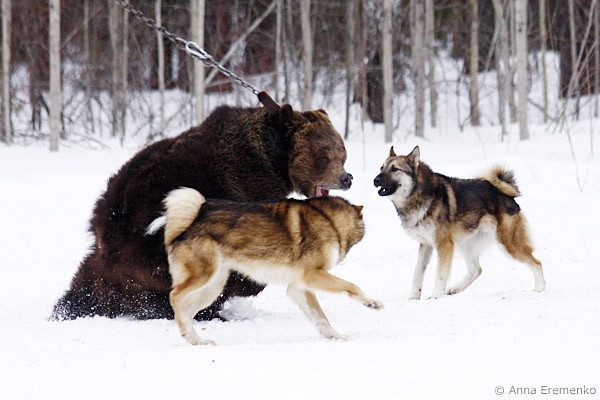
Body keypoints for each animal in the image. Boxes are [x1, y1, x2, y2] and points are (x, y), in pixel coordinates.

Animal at [52, 93, 353, 321]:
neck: (273, 160)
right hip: (150, 245)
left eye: (342, 152)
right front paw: (251, 281)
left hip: (104, 252)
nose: (346, 177)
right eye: (323, 155)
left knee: (87, 283)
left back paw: (67, 308)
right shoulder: (244, 184)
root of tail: (109, 231)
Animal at [147, 188, 382, 345]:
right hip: (203, 277)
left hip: (212, 288)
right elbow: (352, 286)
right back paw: (189, 333)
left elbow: (320, 319)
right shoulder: (312, 275)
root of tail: (192, 220)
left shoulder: (298, 287)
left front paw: (335, 336)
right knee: (175, 296)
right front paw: (371, 303)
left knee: (187, 309)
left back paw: (195, 339)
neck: (330, 222)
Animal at [373, 146, 546, 299]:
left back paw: (540, 288)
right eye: (381, 168)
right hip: (465, 244)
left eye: (394, 169)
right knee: (476, 270)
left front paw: (435, 296)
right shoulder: (426, 245)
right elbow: (417, 273)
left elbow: (440, 274)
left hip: (508, 244)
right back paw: (454, 289)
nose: (375, 180)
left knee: (537, 262)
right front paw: (413, 297)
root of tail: (505, 194)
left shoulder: (444, 244)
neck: (419, 194)